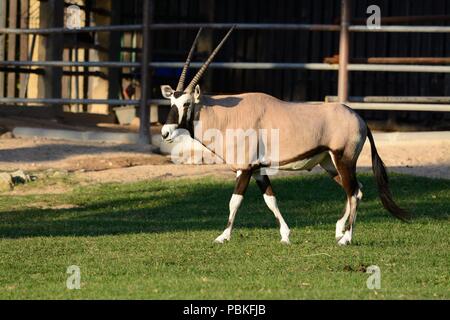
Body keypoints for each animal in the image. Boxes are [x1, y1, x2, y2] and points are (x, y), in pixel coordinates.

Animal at [160, 28, 410, 245]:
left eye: (187, 103)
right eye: (171, 101)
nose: (165, 132)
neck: (228, 114)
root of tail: (359, 118)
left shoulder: (245, 168)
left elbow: (235, 201)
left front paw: (223, 236)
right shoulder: (258, 170)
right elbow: (271, 200)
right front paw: (285, 235)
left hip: (343, 159)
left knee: (354, 192)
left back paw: (346, 238)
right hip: (329, 163)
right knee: (355, 190)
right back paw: (340, 229)